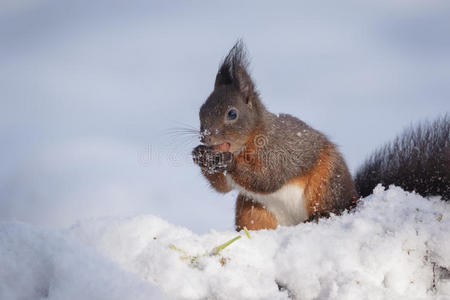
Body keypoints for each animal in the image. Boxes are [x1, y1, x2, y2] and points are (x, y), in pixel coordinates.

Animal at [191, 41, 450, 231]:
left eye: (232, 114)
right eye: (201, 110)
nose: (205, 137)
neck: (250, 139)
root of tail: (355, 196)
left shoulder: (279, 150)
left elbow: (268, 178)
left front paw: (228, 161)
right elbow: (223, 188)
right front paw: (199, 156)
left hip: (326, 183)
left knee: (332, 205)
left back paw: (321, 216)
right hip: (252, 210)